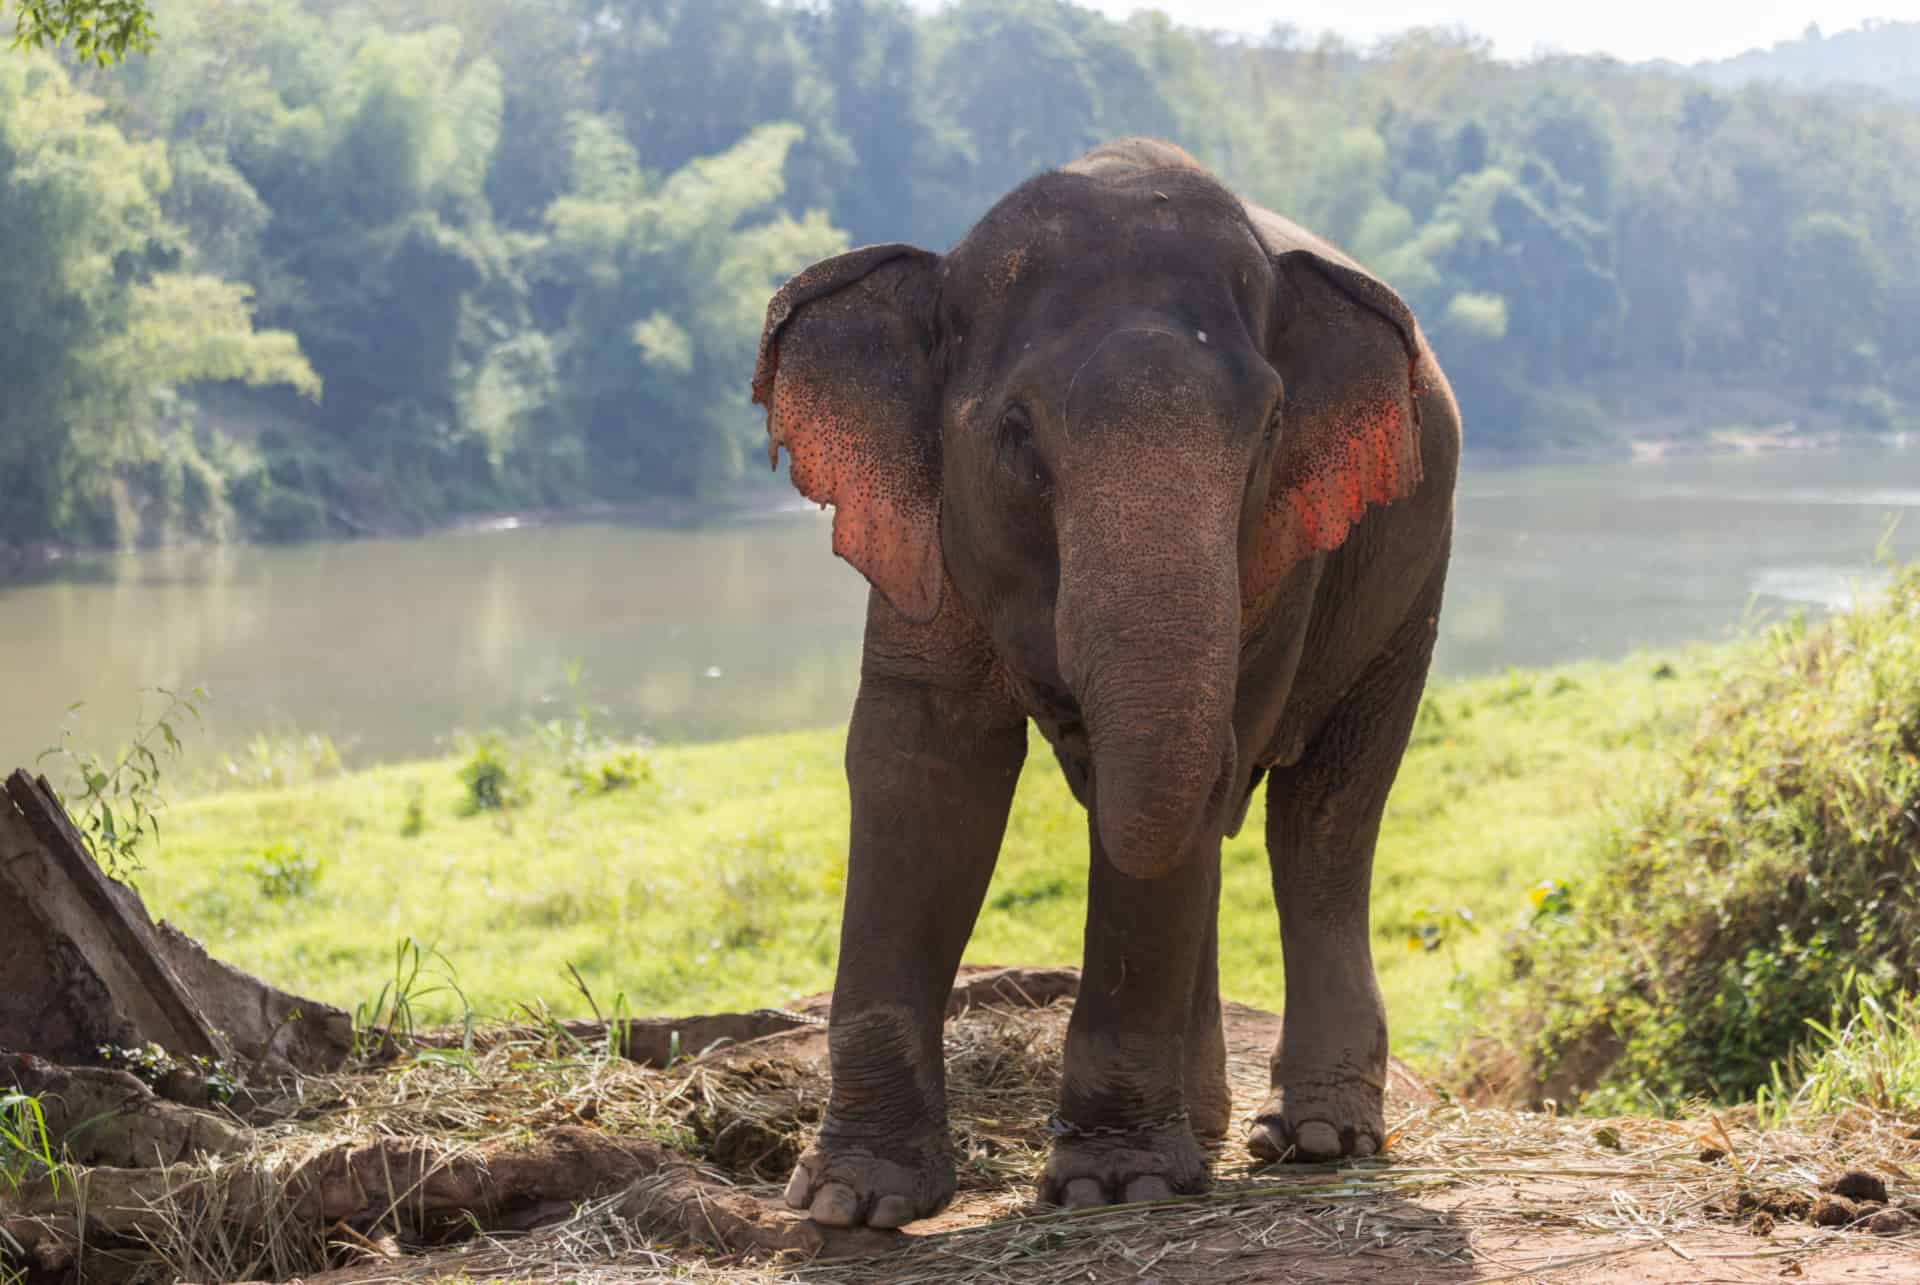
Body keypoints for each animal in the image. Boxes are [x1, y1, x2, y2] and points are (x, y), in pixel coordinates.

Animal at [748, 138, 1451, 1221]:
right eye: (1016, 433)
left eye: (1270, 427)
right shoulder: (920, 533)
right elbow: (920, 765)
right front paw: (851, 1201)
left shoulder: (1284, 552)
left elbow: (1187, 791)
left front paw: (1115, 1185)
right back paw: (1207, 1125)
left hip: (1411, 574)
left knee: (1327, 814)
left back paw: (1315, 1138)